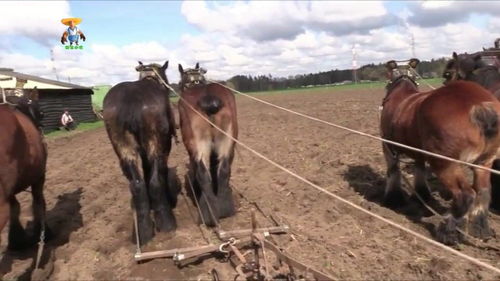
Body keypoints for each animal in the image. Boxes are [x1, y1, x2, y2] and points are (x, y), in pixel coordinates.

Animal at [102, 61, 179, 245]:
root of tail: (131, 101)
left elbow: (145, 169)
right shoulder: (165, 146)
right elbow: (160, 172)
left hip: (123, 147)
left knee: (137, 184)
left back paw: (142, 231)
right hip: (155, 142)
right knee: (156, 180)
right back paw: (167, 223)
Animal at [178, 63, 238, 225]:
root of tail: (208, 97)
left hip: (198, 144)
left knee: (202, 172)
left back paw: (208, 214)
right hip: (227, 140)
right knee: (224, 169)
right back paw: (224, 209)